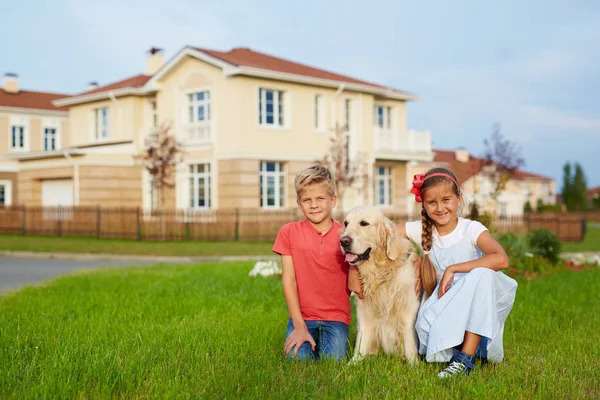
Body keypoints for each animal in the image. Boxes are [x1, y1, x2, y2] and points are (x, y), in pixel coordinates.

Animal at [340, 208, 420, 364]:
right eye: (346, 223)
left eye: (364, 223)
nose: (343, 241)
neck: (381, 273)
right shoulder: (365, 312)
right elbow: (361, 342)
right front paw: (353, 363)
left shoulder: (408, 310)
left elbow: (409, 343)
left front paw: (414, 365)